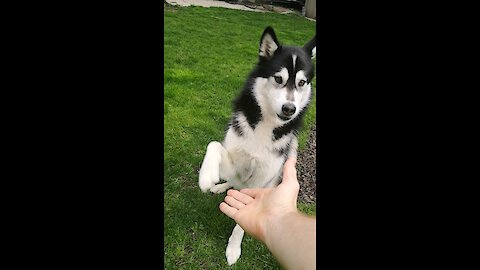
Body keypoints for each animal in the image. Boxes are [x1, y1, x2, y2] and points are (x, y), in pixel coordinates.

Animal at [198, 26, 316, 264]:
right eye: (278, 78)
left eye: (301, 83)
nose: (289, 109)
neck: (266, 125)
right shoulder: (237, 162)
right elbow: (214, 145)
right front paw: (207, 177)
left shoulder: (261, 180)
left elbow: (242, 221)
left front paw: (233, 248)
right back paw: (220, 186)